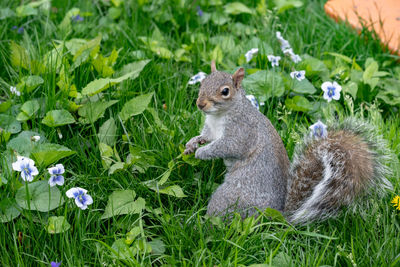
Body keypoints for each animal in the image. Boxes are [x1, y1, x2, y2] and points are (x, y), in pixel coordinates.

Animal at [186, 62, 392, 224]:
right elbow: (206, 137)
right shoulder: (211, 129)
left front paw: (202, 153)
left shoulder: (241, 133)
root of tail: (276, 215)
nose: (200, 104)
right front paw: (192, 144)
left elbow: (226, 146)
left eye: (225, 91)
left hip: (230, 199)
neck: (218, 116)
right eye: (202, 82)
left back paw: (202, 225)